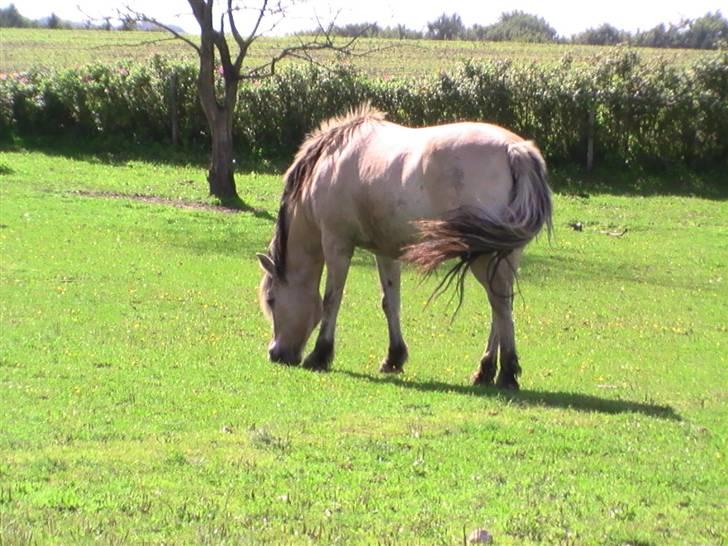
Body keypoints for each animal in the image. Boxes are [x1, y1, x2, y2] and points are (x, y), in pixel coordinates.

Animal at [256, 105, 552, 386]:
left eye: (271, 299)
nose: (275, 354)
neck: (332, 160)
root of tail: (515, 150)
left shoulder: (337, 243)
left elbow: (332, 299)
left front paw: (320, 355)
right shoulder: (385, 251)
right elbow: (391, 302)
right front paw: (394, 357)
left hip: (484, 257)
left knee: (500, 306)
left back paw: (507, 373)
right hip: (503, 256)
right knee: (500, 308)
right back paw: (486, 371)